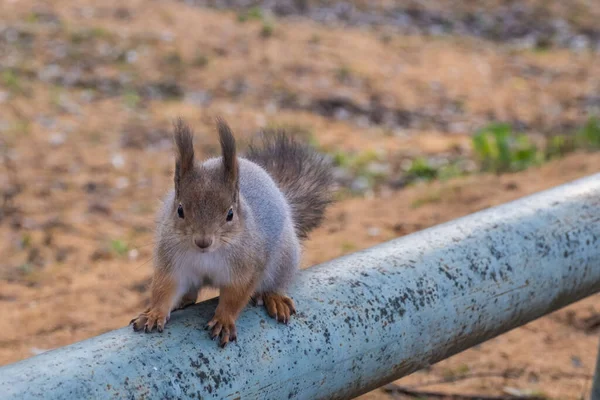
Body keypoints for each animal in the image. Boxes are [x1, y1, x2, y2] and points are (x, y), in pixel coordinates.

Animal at [131, 118, 332, 346]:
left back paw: (274, 297)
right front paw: (155, 313)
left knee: (276, 282)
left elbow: (234, 297)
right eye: (180, 210)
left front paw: (223, 320)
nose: (203, 241)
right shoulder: (171, 261)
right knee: (190, 293)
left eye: (230, 213)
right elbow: (164, 289)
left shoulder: (246, 268)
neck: (206, 255)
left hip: (284, 258)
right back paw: (181, 300)